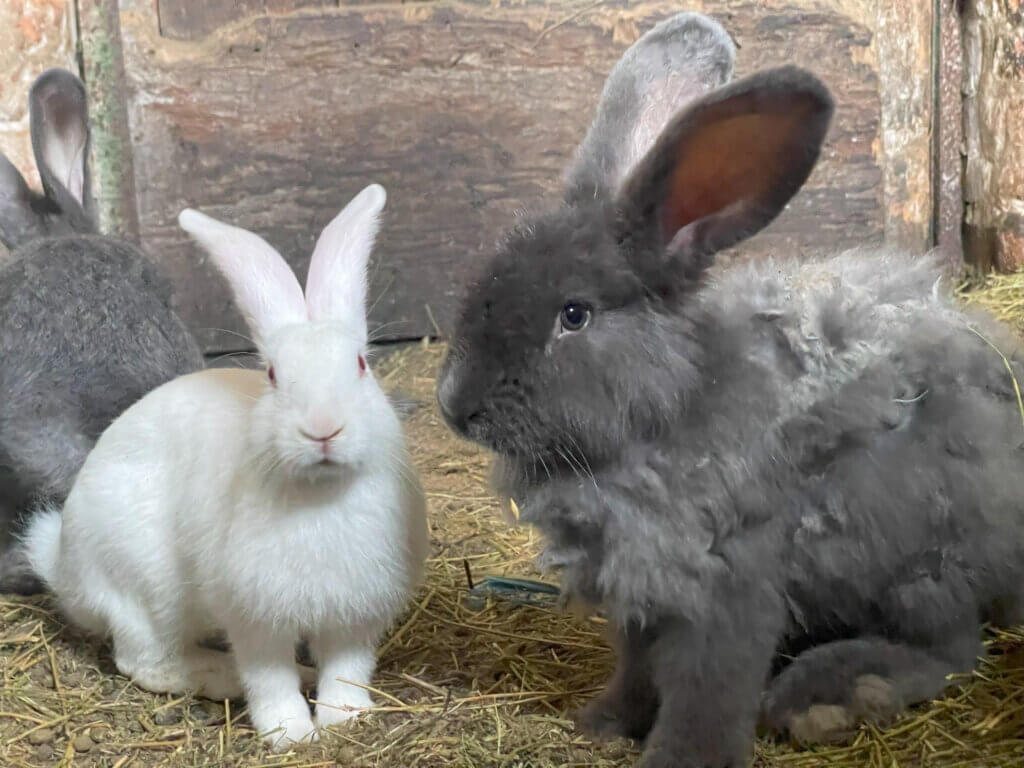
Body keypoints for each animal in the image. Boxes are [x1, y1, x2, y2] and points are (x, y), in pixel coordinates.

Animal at [20, 183, 428, 749]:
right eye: (273, 375)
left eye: (361, 364)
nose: (323, 428)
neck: (320, 496)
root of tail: (64, 567)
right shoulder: (255, 618)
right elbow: (268, 677)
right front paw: (290, 734)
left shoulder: (355, 617)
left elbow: (348, 669)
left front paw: (346, 719)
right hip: (144, 590)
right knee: (145, 661)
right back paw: (222, 676)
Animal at [436, 12, 1024, 768]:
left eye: (574, 314)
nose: (456, 406)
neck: (663, 413)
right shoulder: (643, 598)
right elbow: (637, 672)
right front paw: (603, 724)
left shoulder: (725, 589)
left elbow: (707, 694)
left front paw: (676, 758)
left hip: (920, 566)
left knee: (951, 652)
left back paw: (834, 694)